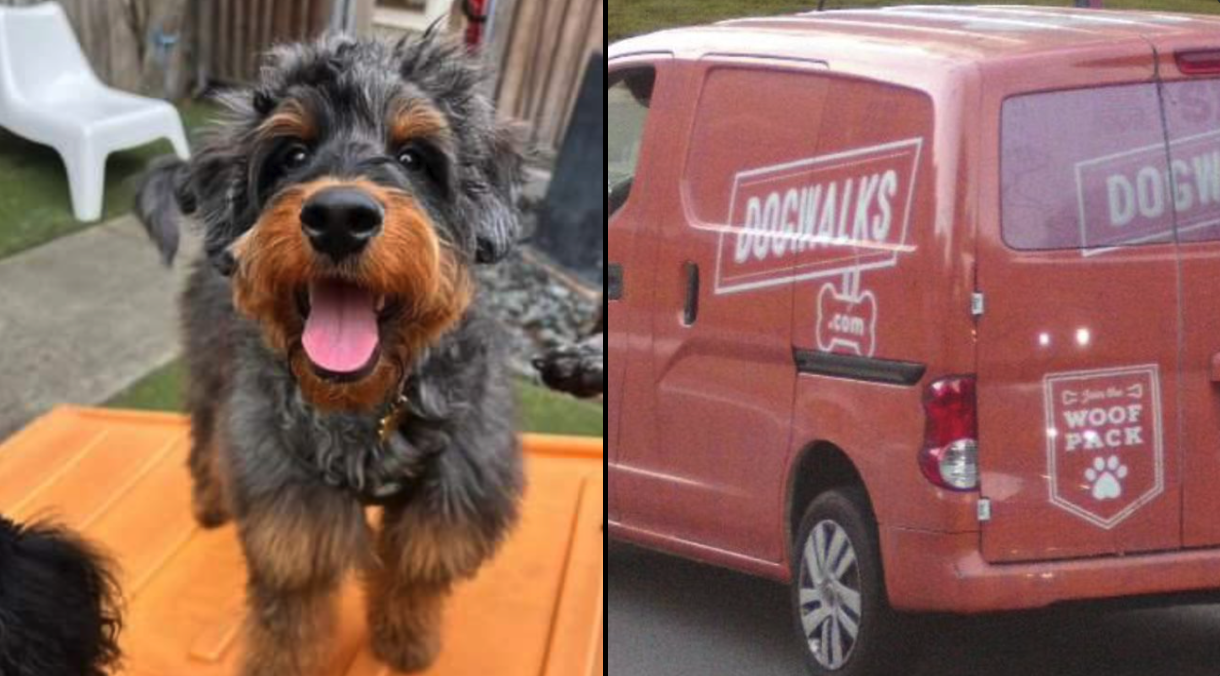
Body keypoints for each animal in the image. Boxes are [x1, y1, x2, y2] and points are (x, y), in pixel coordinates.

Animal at [137, 31, 524, 673]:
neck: (367, 406)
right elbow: (291, 614)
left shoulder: (453, 489)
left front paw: (405, 643)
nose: (340, 216)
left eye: (414, 157)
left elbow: (416, 575)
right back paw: (211, 503)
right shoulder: (291, 504)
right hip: (210, 374)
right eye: (292, 154)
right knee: (204, 441)